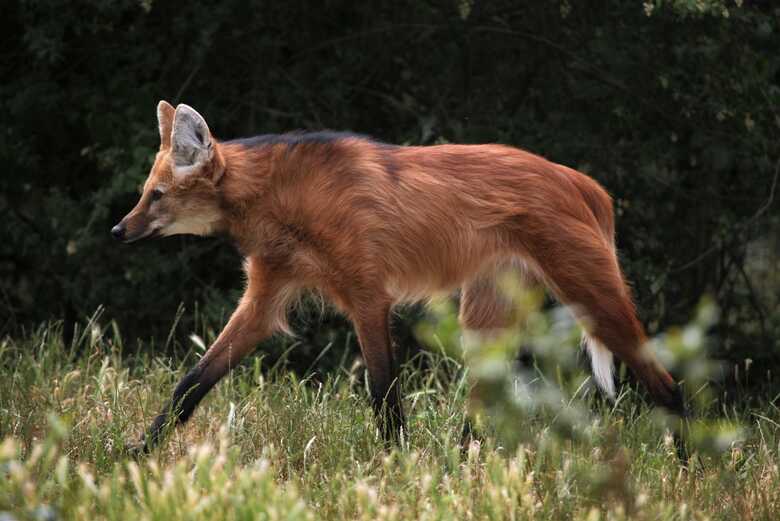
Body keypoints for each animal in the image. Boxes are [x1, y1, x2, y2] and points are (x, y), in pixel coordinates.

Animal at [112, 100, 684, 450]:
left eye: (156, 195)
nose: (118, 230)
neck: (281, 197)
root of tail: (585, 184)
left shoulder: (367, 293)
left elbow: (382, 391)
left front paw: (394, 462)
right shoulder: (267, 294)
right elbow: (193, 380)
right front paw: (135, 453)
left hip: (588, 291)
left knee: (668, 384)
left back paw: (689, 465)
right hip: (488, 308)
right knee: (485, 397)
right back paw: (462, 465)